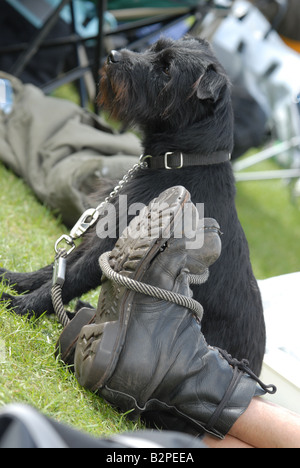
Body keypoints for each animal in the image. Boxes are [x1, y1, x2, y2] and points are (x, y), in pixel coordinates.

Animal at [1, 35, 266, 372]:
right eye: (156, 47)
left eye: (166, 70)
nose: (112, 55)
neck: (179, 161)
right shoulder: (100, 233)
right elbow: (55, 269)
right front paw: (13, 279)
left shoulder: (110, 248)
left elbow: (70, 279)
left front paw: (20, 306)